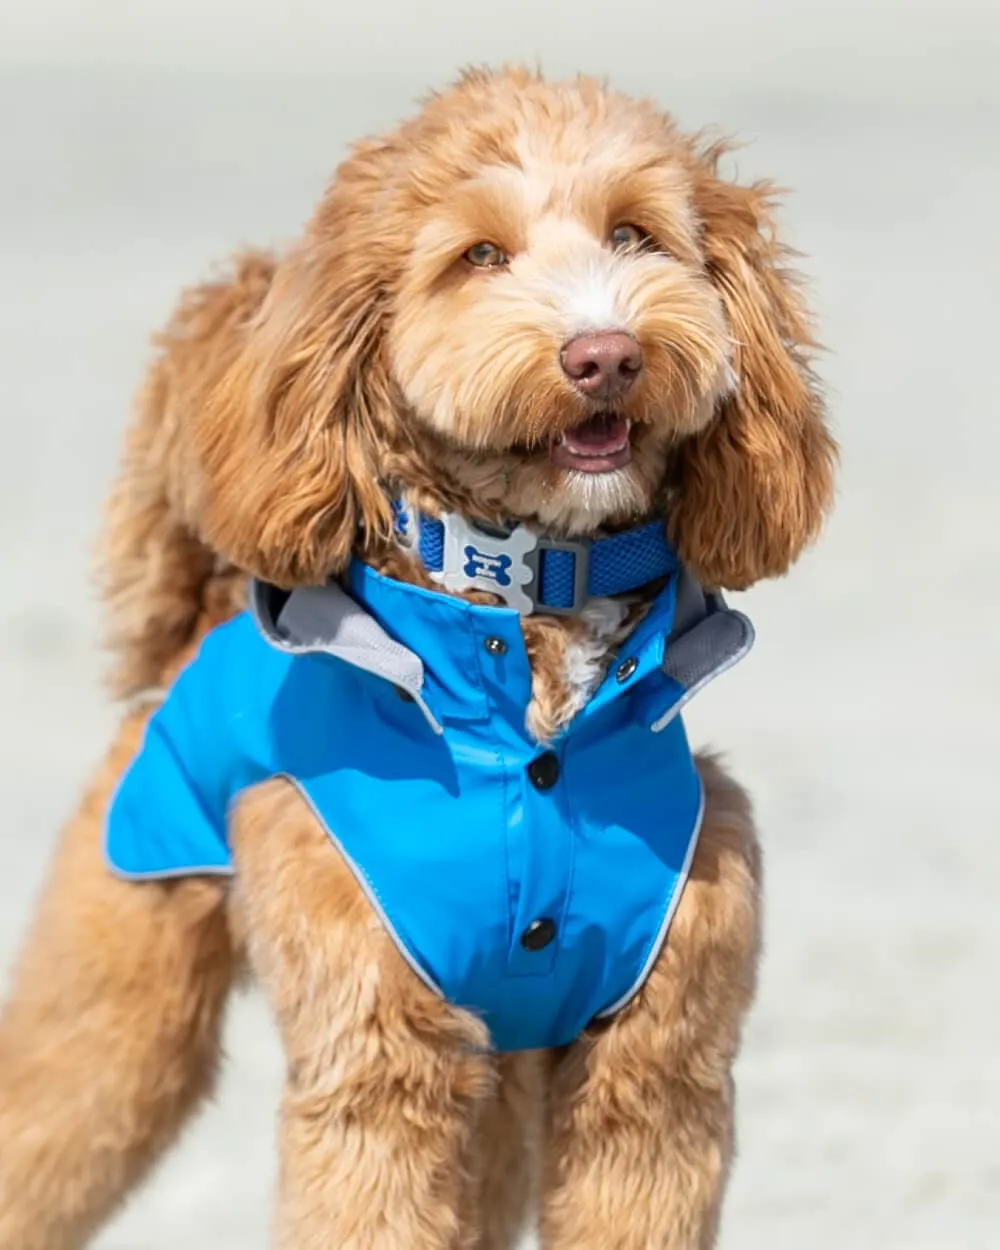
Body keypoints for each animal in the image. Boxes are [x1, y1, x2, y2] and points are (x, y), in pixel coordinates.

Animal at [0, 65, 835, 1250]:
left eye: (633, 235)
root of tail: (196, 630)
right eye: (479, 256)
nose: (606, 354)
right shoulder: (379, 1065)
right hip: (119, 976)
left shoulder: (653, 1072)